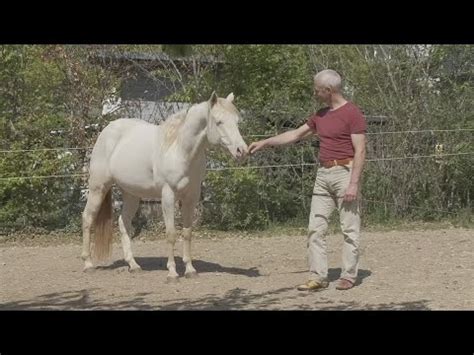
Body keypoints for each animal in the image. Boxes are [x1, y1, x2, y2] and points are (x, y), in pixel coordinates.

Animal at [81, 92, 248, 284]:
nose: (242, 151)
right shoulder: (168, 196)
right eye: (219, 121)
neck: (179, 150)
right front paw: (172, 273)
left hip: (131, 194)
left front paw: (190, 270)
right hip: (98, 188)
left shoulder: (191, 197)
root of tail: (107, 130)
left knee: (124, 222)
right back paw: (88, 264)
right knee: (87, 218)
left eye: (237, 121)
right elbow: (171, 234)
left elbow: (187, 233)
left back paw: (133, 265)